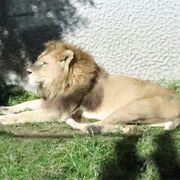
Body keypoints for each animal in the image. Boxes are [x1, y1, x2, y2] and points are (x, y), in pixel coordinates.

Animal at [0, 40, 179, 134]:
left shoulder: (58, 110)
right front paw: (4, 109)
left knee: (102, 126)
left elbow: (25, 115)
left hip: (133, 107)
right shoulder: (52, 100)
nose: (27, 71)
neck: (60, 83)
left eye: (44, 63)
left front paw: (4, 119)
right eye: (38, 60)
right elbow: (25, 104)